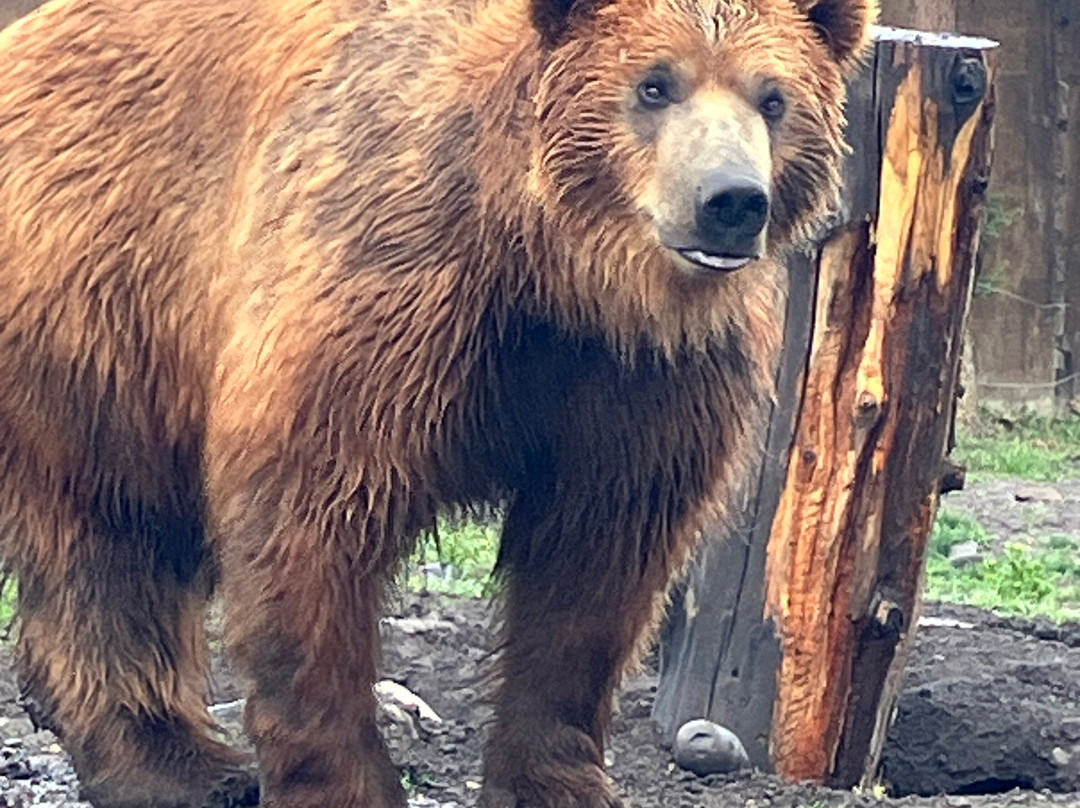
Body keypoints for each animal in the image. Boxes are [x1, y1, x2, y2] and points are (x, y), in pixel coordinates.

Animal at [0, 0, 875, 804]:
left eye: (774, 97)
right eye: (655, 83)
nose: (732, 201)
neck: (564, 273)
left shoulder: (640, 378)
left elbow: (596, 566)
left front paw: (556, 781)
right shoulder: (395, 301)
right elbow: (310, 526)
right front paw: (345, 780)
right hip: (99, 305)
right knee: (108, 532)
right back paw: (176, 763)